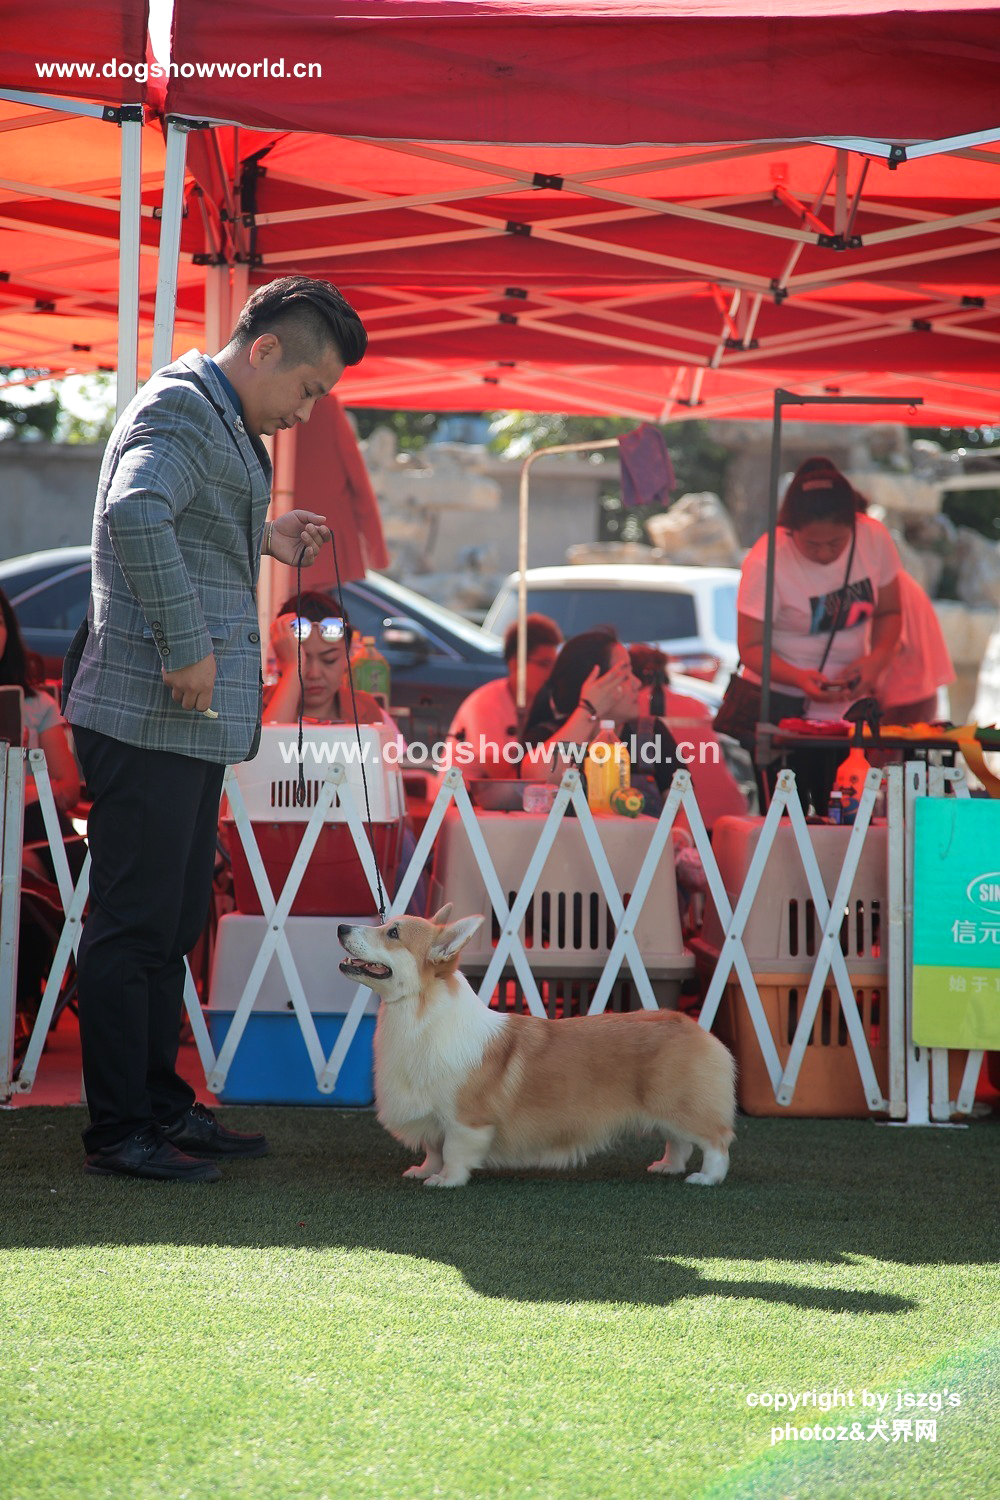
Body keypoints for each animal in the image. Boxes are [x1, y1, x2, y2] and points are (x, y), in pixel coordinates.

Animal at [338, 906, 736, 1188]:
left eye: (393, 932)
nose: (341, 927)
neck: (416, 1015)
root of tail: (692, 1025)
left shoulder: (466, 1120)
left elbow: (453, 1152)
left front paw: (445, 1181)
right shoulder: (432, 1117)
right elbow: (433, 1149)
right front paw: (424, 1171)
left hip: (681, 1106)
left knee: (715, 1141)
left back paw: (706, 1178)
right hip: (666, 1111)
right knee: (679, 1142)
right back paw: (668, 1167)